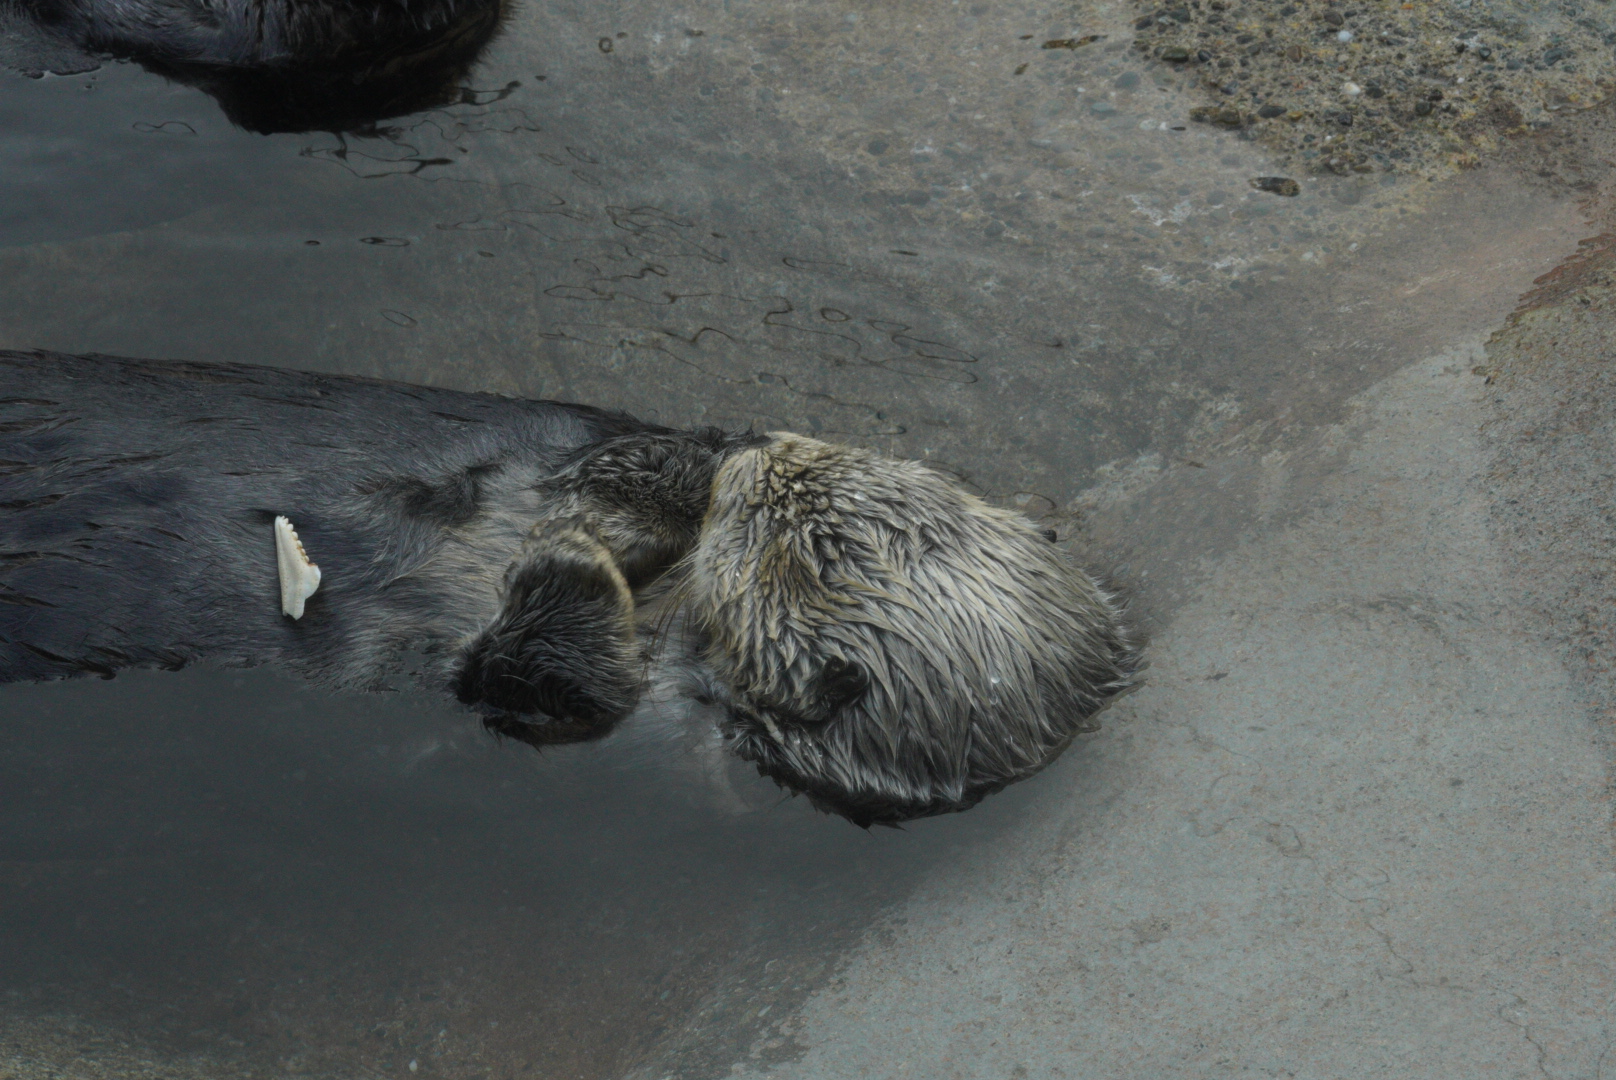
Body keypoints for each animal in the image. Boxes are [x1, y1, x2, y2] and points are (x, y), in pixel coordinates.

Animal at [0, 350, 1141, 825]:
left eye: (804, 544)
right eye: (898, 474)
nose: (759, 449)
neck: (676, 617)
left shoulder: (640, 743)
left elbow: (527, 675)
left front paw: (574, 560)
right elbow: (610, 459)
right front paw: (653, 485)